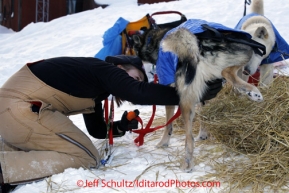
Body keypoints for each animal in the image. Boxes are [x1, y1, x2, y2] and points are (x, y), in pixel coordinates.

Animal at [133, 20, 264, 173]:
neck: (154, 40)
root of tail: (194, 45)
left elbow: (168, 125)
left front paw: (163, 142)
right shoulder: (205, 92)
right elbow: (203, 116)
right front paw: (203, 134)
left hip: (186, 101)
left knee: (189, 139)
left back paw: (187, 164)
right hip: (244, 52)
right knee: (229, 72)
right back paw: (252, 92)